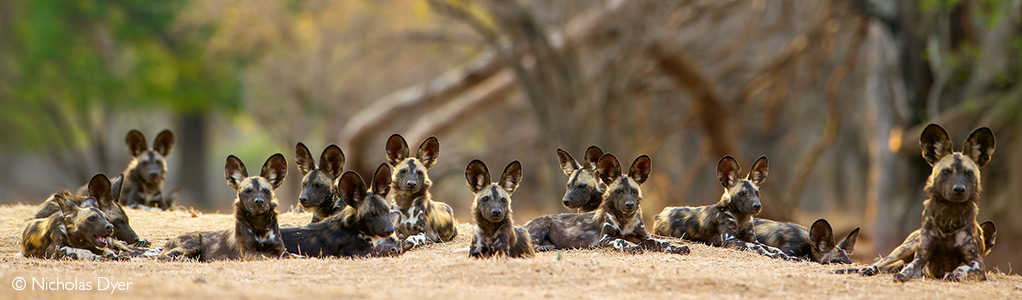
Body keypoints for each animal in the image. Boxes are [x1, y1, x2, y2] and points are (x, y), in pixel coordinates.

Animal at [159, 153, 288, 261]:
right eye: (247, 191)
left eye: (266, 191)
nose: (259, 201)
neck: (259, 225)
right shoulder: (249, 253)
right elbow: (272, 256)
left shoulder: (281, 250)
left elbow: (287, 255)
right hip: (192, 244)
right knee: (165, 256)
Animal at [527, 155, 686, 255]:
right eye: (618, 191)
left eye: (634, 191)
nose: (629, 204)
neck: (625, 219)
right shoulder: (605, 238)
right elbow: (621, 241)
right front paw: (632, 247)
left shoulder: (643, 237)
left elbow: (663, 242)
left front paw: (677, 247)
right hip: (540, 229)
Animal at [654, 156, 788, 259]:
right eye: (742, 193)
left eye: (757, 193)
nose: (757, 206)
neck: (741, 219)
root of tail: (660, 213)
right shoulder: (729, 239)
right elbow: (758, 247)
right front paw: (771, 254)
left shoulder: (752, 239)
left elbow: (773, 248)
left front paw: (786, 255)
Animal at [842, 123, 993, 281]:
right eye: (946, 171)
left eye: (969, 173)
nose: (958, 189)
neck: (949, 216)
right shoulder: (921, 257)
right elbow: (908, 269)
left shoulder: (977, 263)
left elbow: (963, 268)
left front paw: (954, 274)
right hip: (904, 249)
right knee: (883, 261)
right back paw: (869, 269)